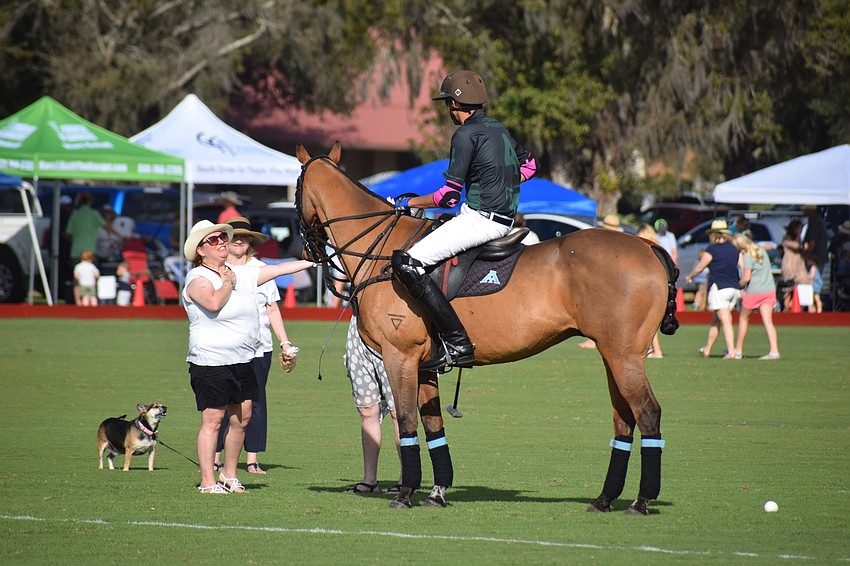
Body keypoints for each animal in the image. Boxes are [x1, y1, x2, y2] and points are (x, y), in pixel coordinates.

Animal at [295, 143, 679, 515]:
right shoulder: (424, 365)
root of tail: (648, 245)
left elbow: (406, 422)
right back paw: (604, 499)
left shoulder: (399, 356)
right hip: (612, 354)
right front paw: (437, 493)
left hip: (624, 356)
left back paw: (641, 502)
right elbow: (433, 426)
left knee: (647, 413)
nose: (308, 252)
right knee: (624, 418)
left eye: (296, 191)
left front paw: (404, 494)